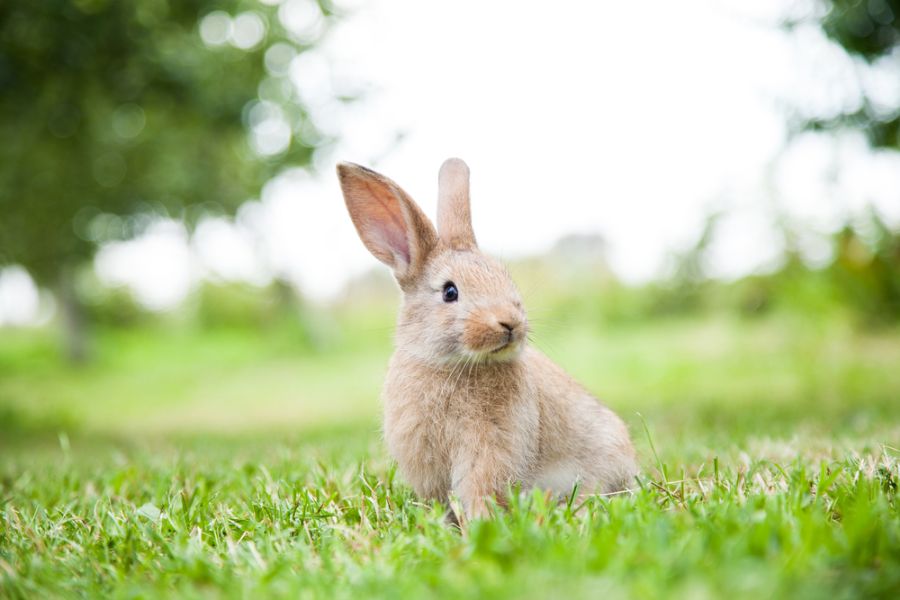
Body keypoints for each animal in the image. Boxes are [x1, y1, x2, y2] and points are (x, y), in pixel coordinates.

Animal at [336, 158, 638, 520]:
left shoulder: (489, 449)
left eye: (504, 277)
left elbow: (480, 489)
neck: (451, 365)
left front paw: (481, 523)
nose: (510, 323)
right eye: (450, 292)